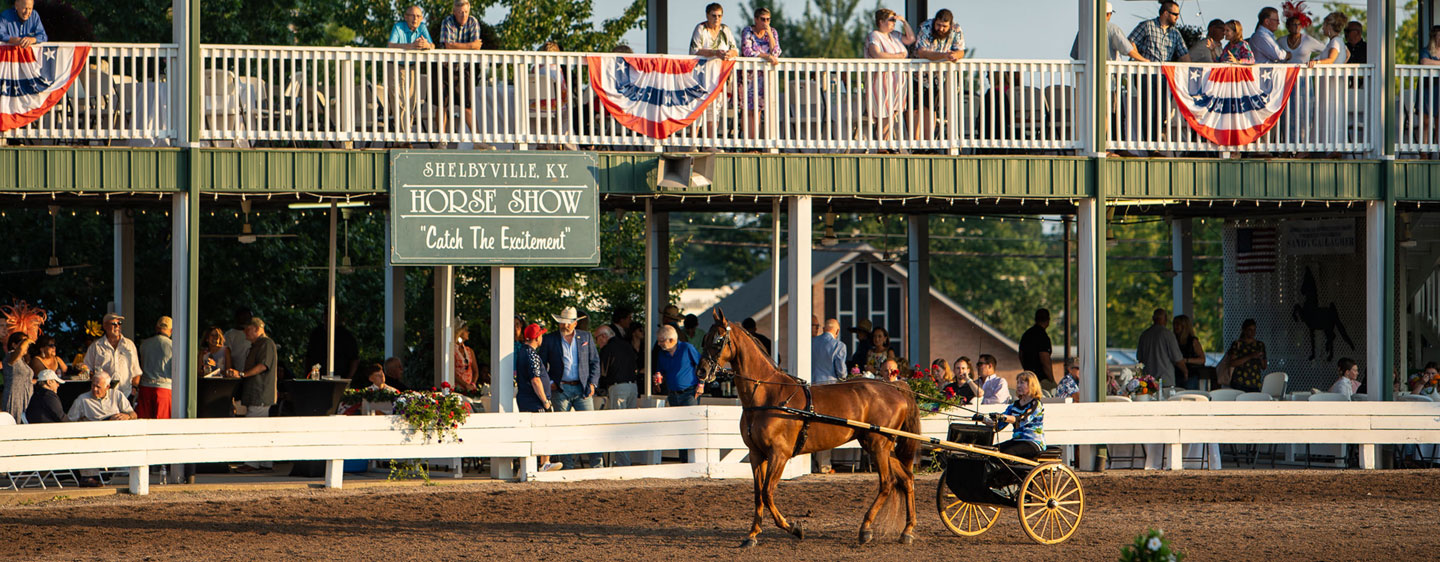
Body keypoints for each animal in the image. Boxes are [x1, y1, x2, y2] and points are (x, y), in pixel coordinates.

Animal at [696, 306, 921, 547]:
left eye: (719, 340)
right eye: (705, 339)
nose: (701, 372)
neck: (768, 395)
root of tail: (895, 387)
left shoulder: (779, 454)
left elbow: (767, 493)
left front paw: (794, 528)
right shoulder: (756, 454)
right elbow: (758, 495)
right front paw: (752, 535)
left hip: (878, 445)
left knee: (887, 483)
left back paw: (866, 528)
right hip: (879, 445)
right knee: (906, 478)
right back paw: (907, 530)